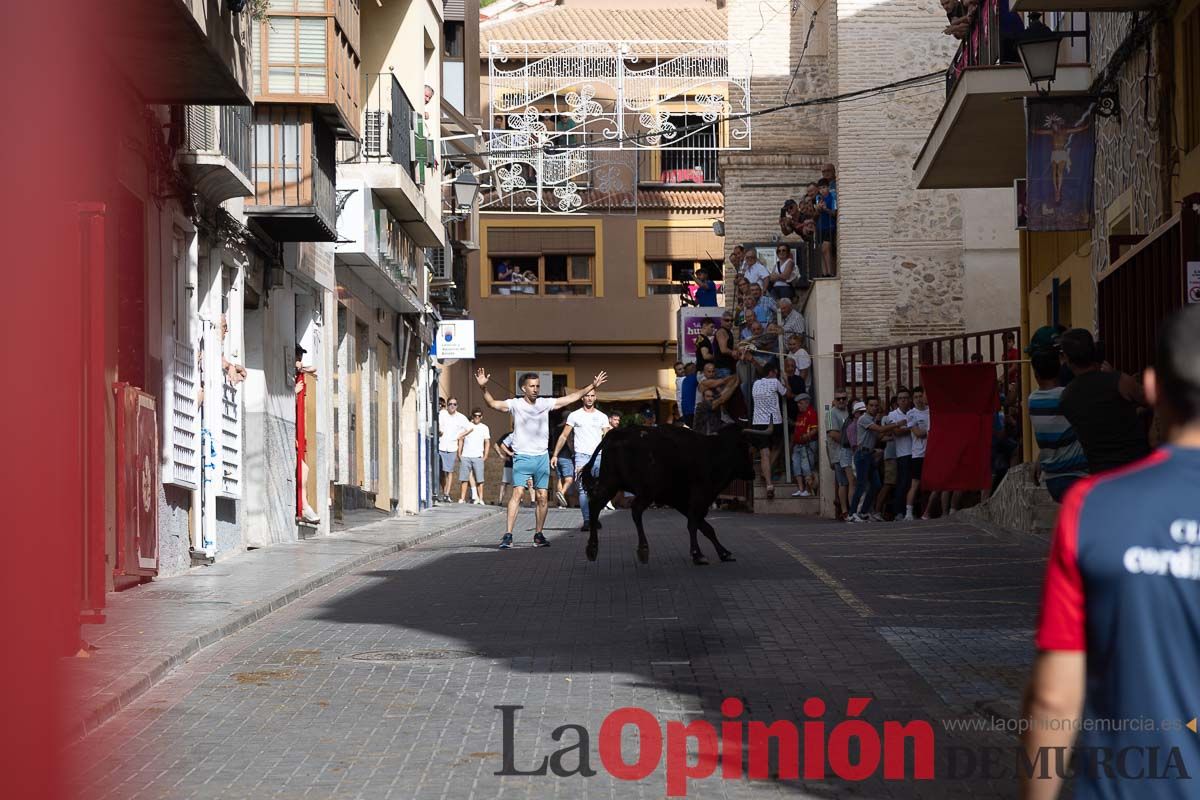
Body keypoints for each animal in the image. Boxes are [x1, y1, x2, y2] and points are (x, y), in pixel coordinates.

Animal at [573, 422, 753, 566]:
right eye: (745, 448)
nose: (752, 472)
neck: (713, 451)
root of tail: (617, 433)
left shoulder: (681, 501)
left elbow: (706, 527)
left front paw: (724, 553)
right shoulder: (698, 497)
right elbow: (694, 524)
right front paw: (698, 555)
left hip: (611, 484)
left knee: (595, 504)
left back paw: (592, 548)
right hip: (646, 491)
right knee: (635, 509)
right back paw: (643, 549)